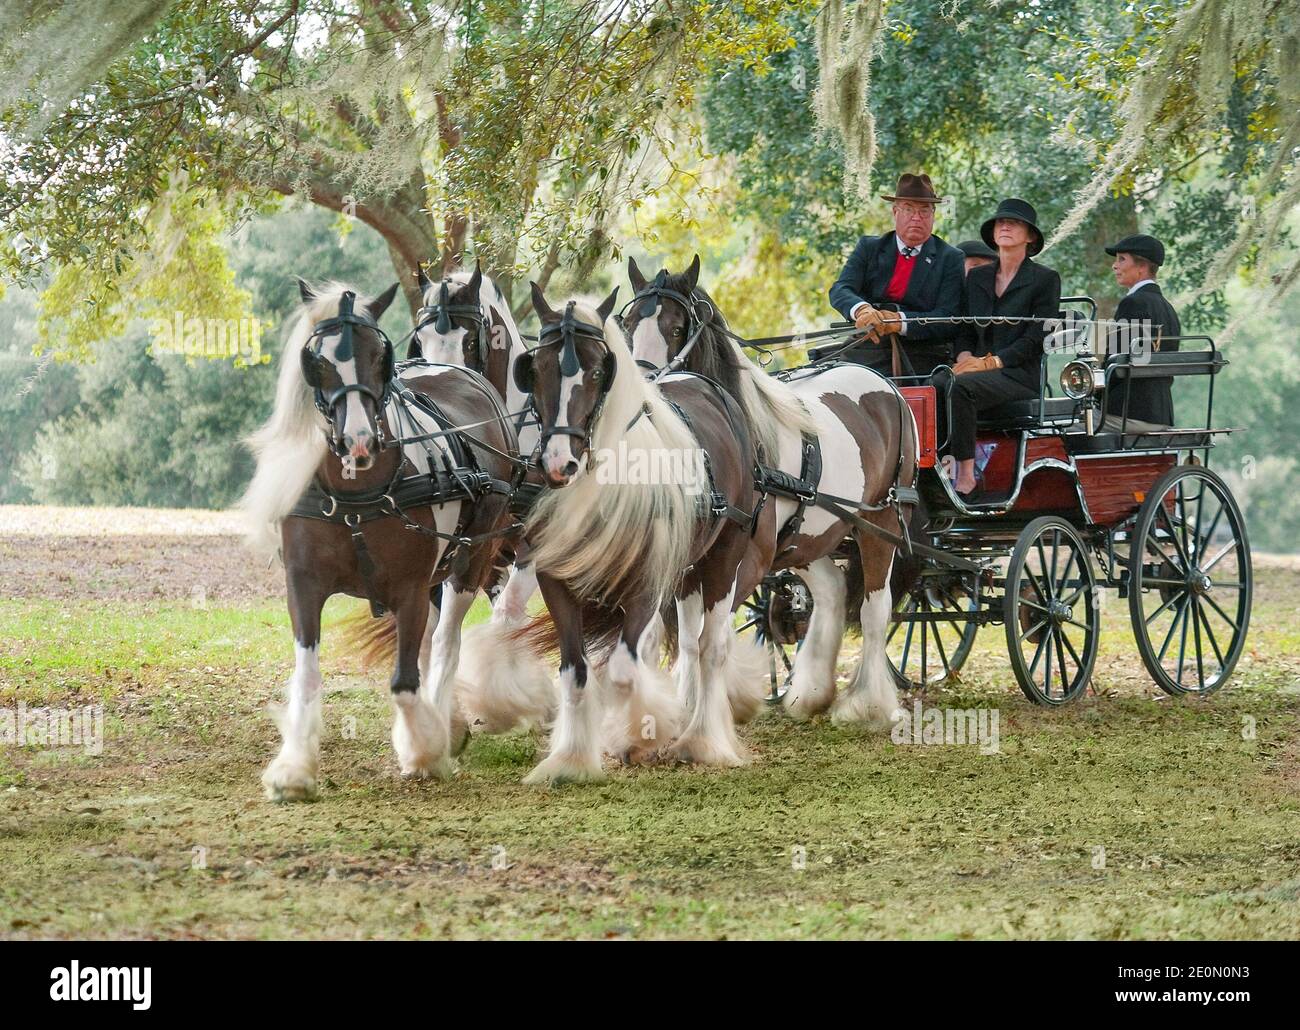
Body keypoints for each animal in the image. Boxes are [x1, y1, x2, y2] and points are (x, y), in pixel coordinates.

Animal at [240, 279, 519, 800]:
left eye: (379, 354)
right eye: (317, 360)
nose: (358, 442)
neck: (356, 494)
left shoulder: (408, 589)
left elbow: (404, 680)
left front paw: (425, 750)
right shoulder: (303, 585)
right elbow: (308, 672)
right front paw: (294, 767)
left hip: (469, 558)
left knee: (445, 639)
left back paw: (443, 724)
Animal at [509, 283, 761, 783]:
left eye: (596, 371)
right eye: (538, 369)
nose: (559, 463)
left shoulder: (646, 580)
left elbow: (624, 670)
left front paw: (644, 735)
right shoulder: (555, 578)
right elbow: (575, 671)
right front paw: (571, 760)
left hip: (725, 553)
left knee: (710, 647)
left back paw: (701, 740)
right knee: (688, 644)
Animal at [623, 255, 917, 728]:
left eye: (677, 327)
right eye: (629, 323)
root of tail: (885, 384)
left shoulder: (748, 560)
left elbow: (708, 633)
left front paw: (710, 711)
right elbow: (677, 636)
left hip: (880, 521)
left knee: (875, 610)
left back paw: (869, 704)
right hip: (809, 537)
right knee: (832, 591)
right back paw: (811, 692)